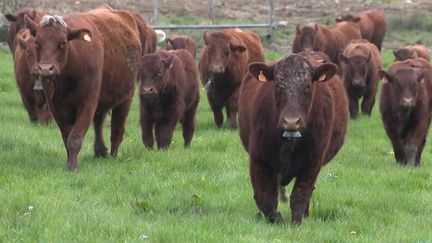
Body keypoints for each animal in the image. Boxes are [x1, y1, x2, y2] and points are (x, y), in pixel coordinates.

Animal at [24, 9, 142, 171]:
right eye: (37, 43)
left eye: (63, 43)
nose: (46, 68)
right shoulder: (55, 107)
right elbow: (66, 136)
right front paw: (69, 161)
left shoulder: (88, 103)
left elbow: (75, 137)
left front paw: (72, 167)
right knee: (99, 123)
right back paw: (100, 151)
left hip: (126, 98)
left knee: (117, 129)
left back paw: (113, 155)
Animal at [238, 52, 350, 224]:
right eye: (278, 85)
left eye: (308, 86)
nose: (291, 121)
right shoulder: (258, 158)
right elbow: (265, 198)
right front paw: (277, 219)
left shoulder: (313, 161)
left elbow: (300, 196)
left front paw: (296, 222)